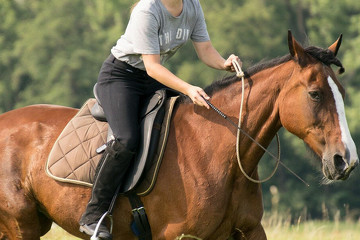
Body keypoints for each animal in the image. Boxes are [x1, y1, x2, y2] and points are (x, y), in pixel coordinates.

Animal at [0, 31, 358, 239]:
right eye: (315, 94)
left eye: (341, 92)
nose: (346, 161)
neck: (218, 152)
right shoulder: (179, 236)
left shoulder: (249, 230)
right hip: (21, 225)